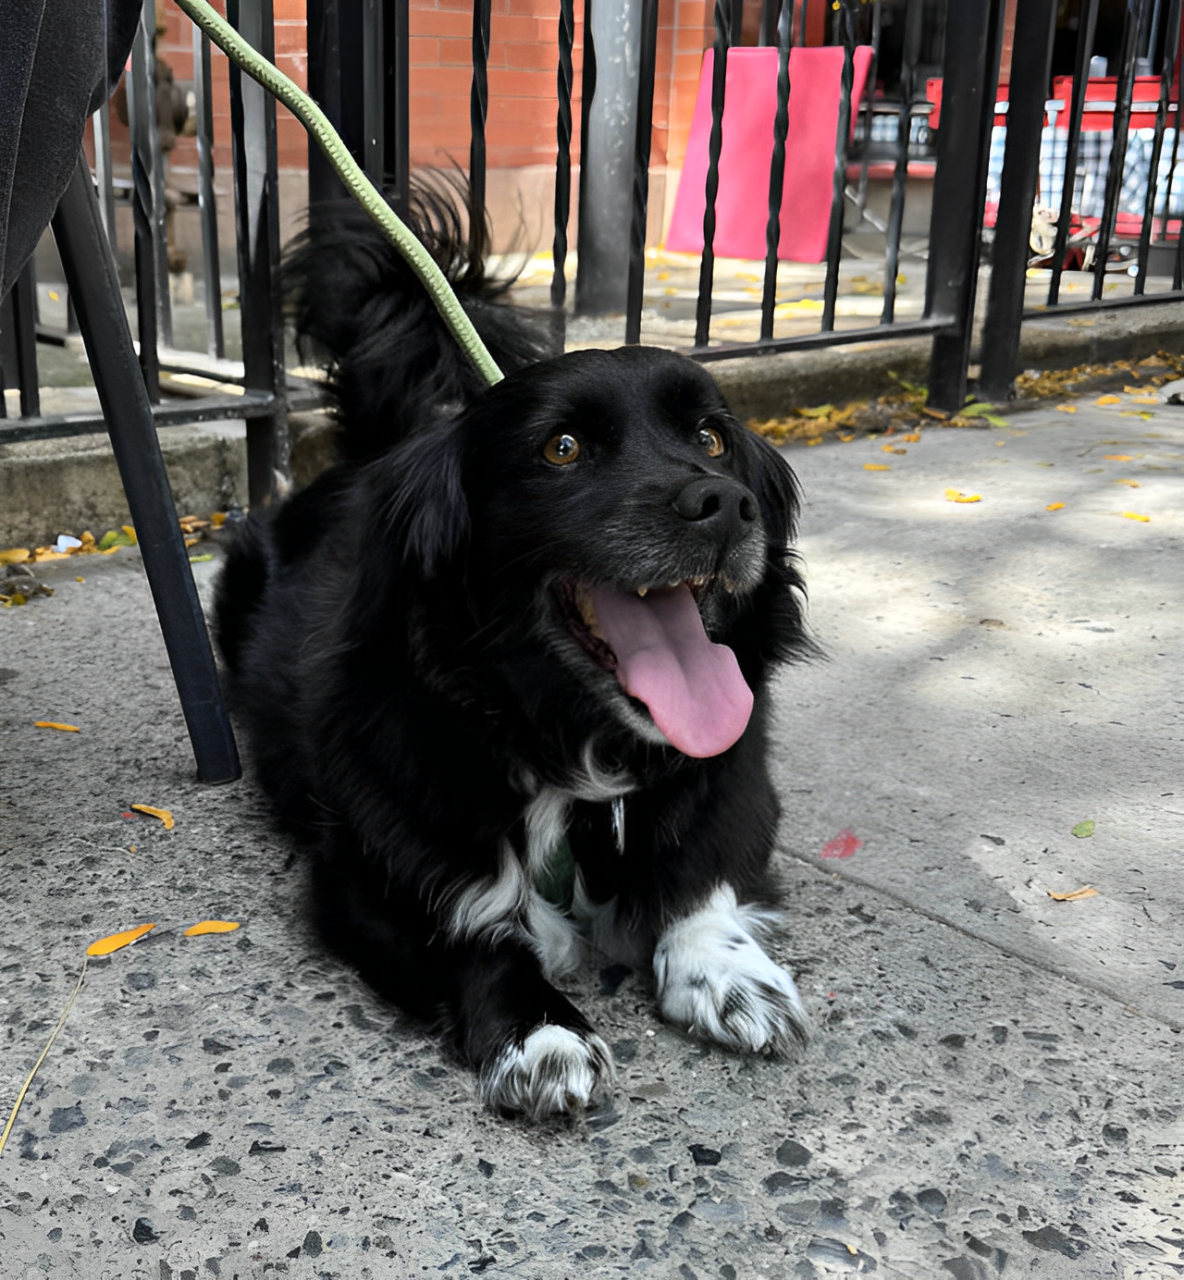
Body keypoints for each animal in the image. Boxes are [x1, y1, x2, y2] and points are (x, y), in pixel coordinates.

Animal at [215, 189, 814, 1121]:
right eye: (561, 449)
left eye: (713, 439)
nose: (724, 503)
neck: (574, 745)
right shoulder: (366, 863)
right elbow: (471, 928)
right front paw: (539, 1030)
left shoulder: (734, 788)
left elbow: (704, 875)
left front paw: (729, 973)